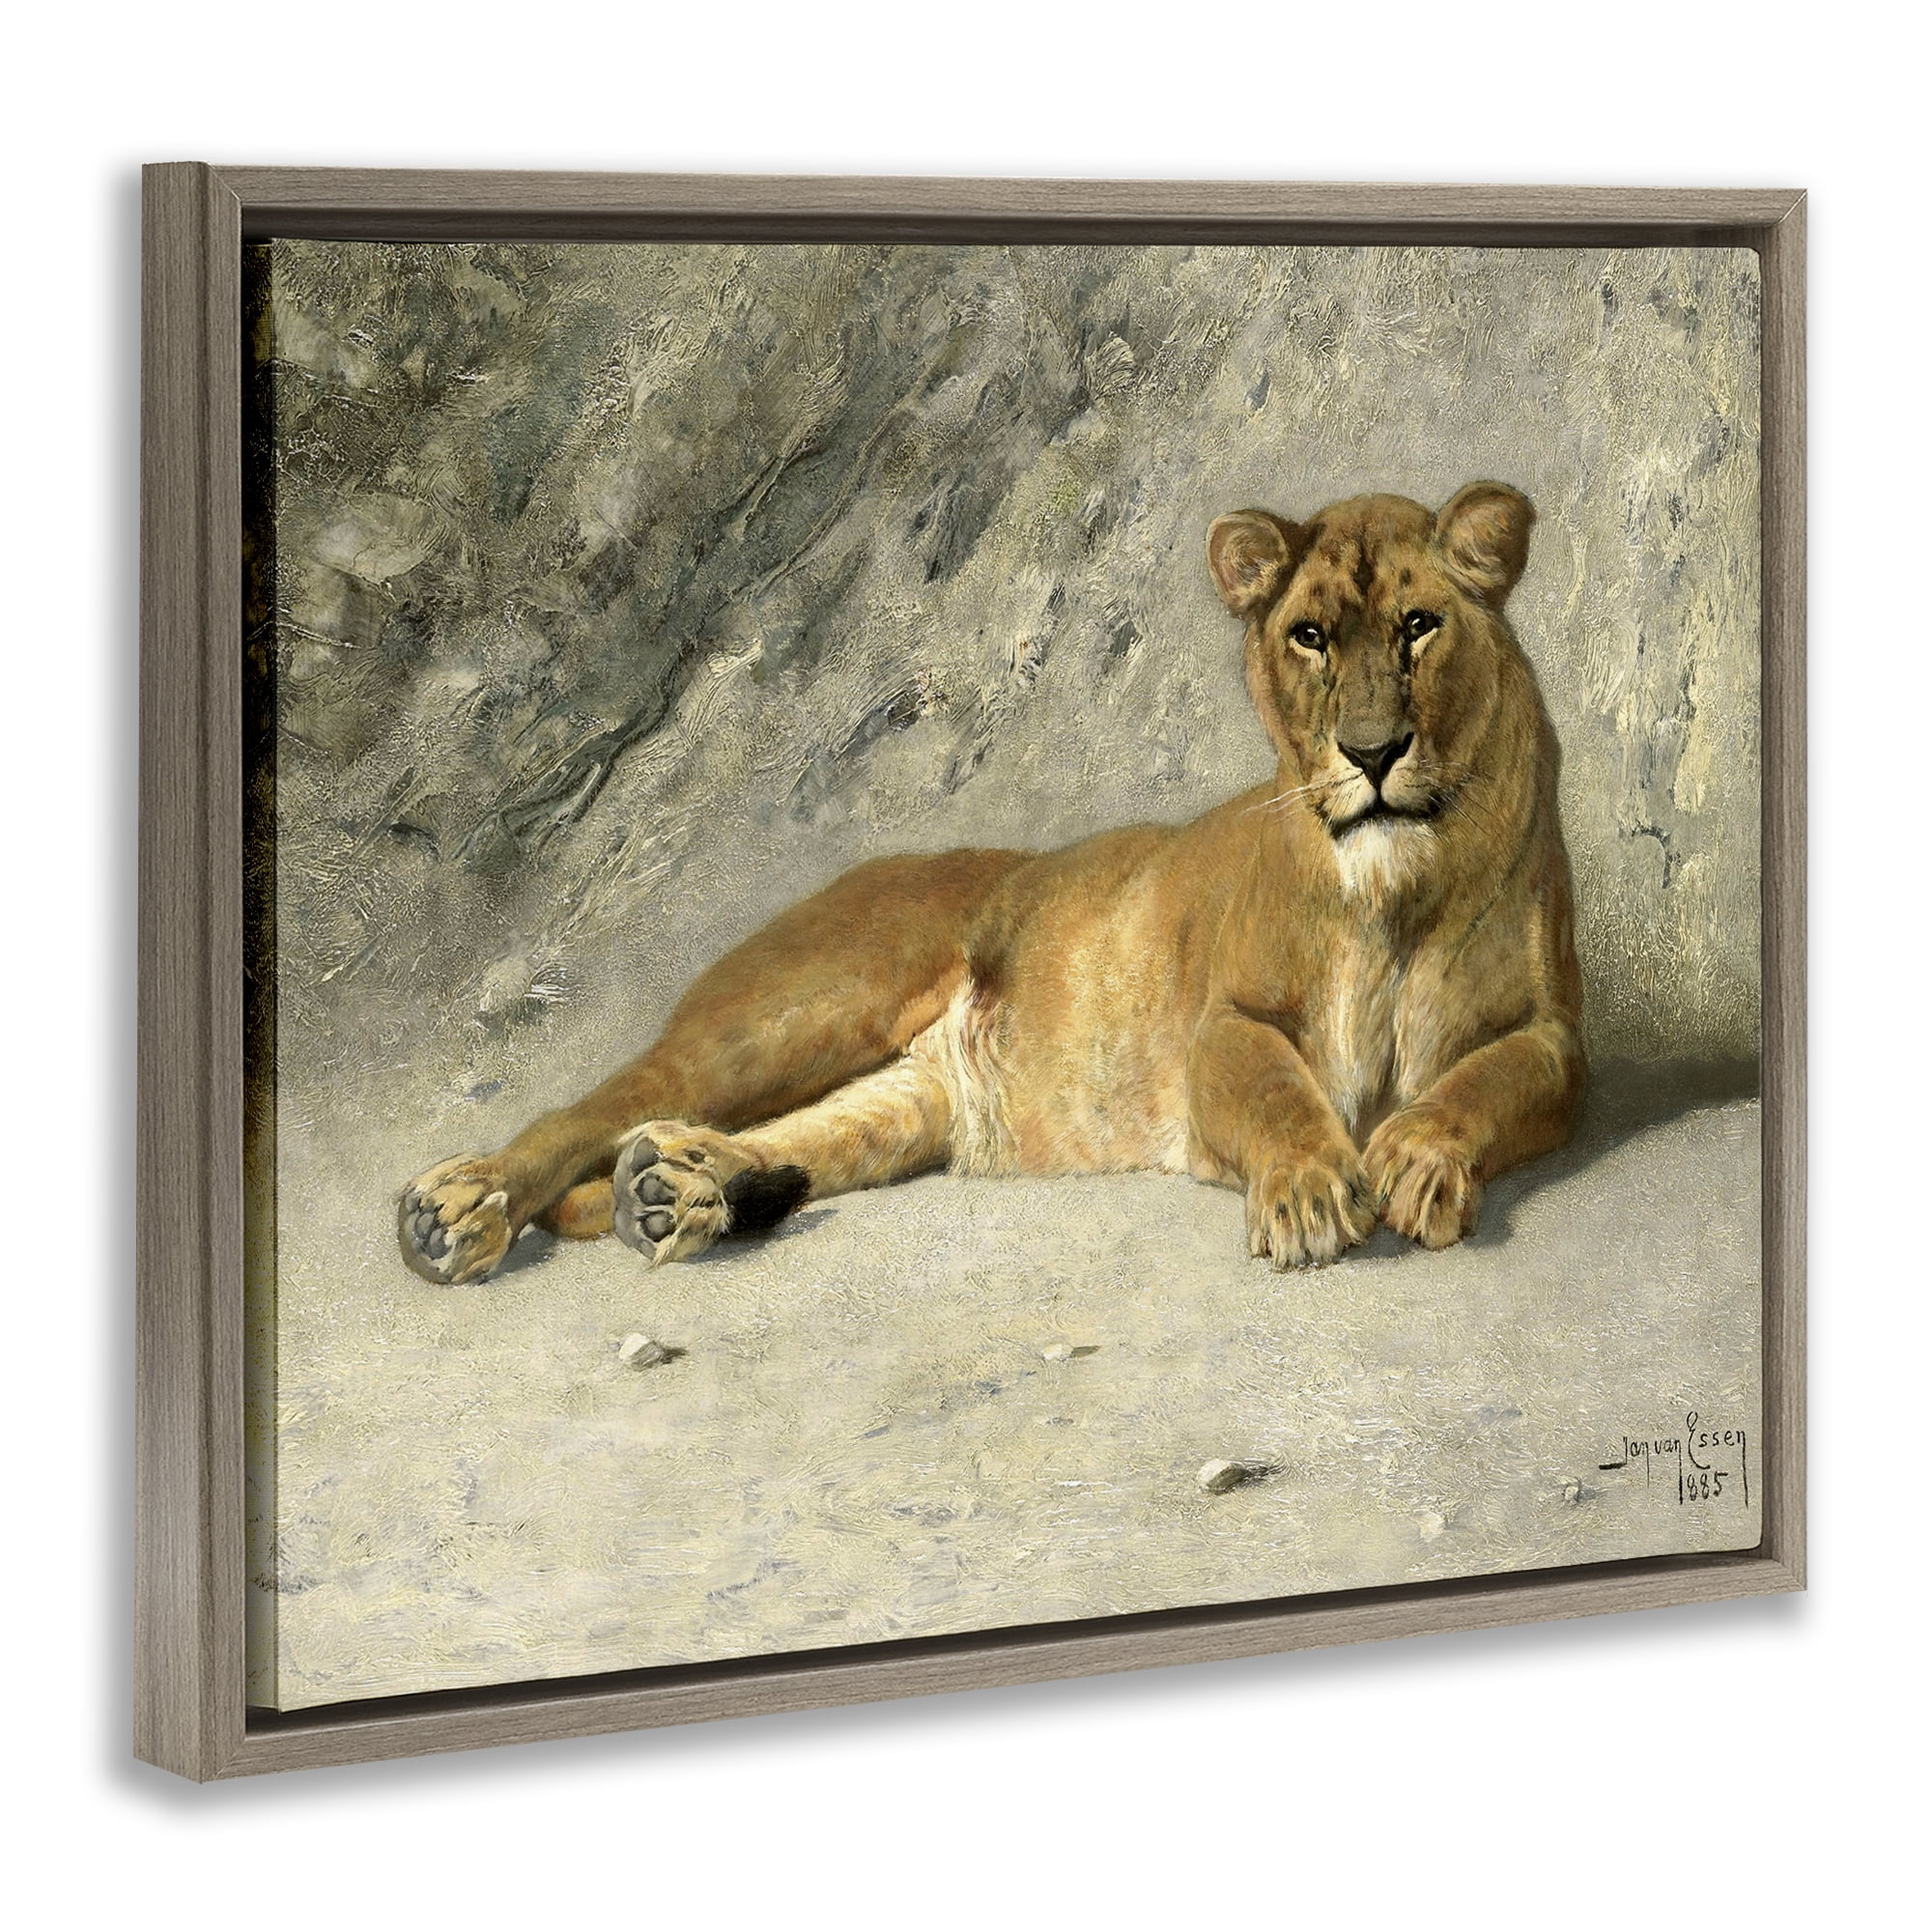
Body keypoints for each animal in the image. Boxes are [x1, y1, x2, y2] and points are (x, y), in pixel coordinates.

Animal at [399, 482, 1585, 1286]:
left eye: (1419, 626)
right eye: (1309, 637)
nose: (1373, 751)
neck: (1393, 891)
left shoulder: (1554, 1038)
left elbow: (1482, 1084)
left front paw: (1416, 1157)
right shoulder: (1223, 1022)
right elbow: (1273, 1086)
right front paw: (1303, 1189)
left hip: (907, 1102)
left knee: (786, 1140)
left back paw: (676, 1190)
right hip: (797, 1010)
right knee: (598, 1105)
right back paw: (459, 1211)